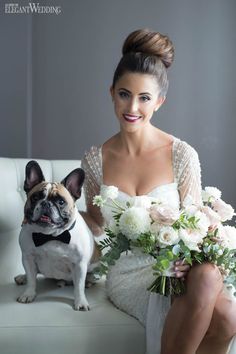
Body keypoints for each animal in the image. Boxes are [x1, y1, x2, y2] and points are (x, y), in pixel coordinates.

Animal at [14, 160, 98, 310]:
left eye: (61, 202)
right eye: (35, 197)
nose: (46, 203)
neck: (50, 235)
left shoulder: (79, 264)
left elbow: (79, 287)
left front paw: (81, 302)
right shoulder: (28, 258)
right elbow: (31, 279)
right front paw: (28, 294)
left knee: (89, 277)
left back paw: (89, 281)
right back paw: (23, 277)